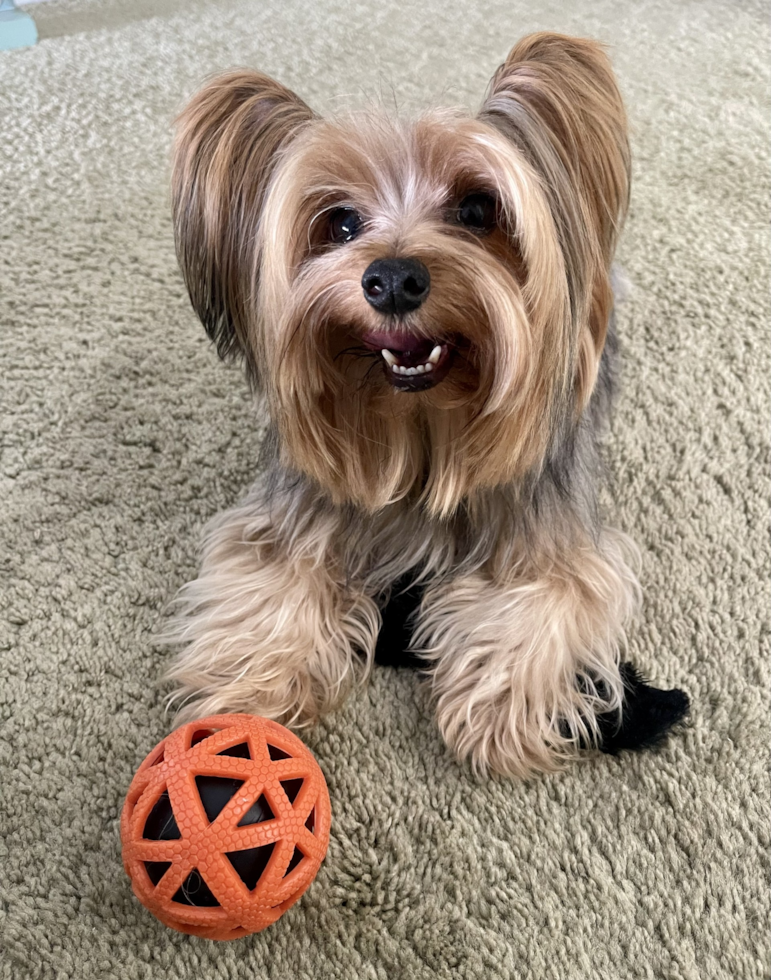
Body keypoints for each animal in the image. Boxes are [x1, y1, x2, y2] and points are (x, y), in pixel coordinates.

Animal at [161, 34, 688, 776]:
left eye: (477, 210)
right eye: (340, 223)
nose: (391, 278)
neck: (418, 425)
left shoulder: (551, 537)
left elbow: (542, 599)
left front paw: (495, 713)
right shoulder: (293, 513)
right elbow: (270, 582)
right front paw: (253, 692)